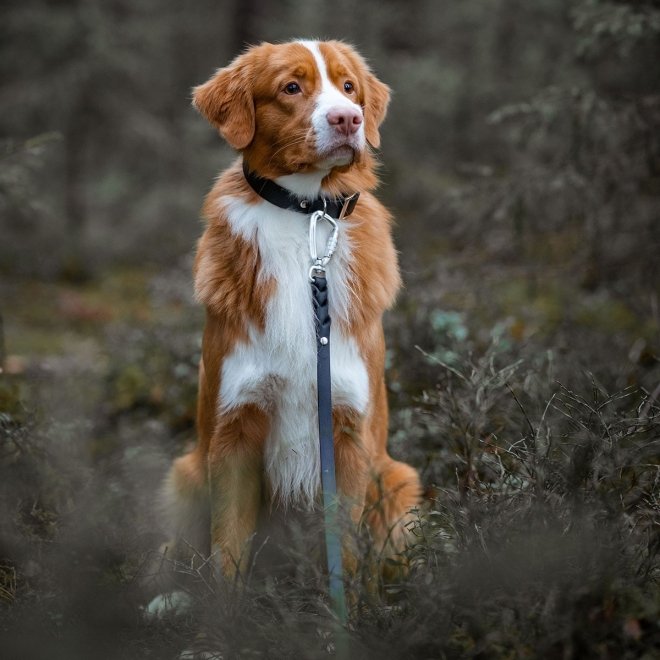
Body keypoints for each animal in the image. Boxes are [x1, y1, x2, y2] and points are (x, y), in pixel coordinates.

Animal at [164, 40, 422, 588]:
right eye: (291, 87)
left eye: (348, 87)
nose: (349, 118)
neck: (305, 213)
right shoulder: (233, 432)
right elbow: (226, 558)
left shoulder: (349, 433)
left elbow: (346, 556)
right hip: (186, 475)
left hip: (396, 478)